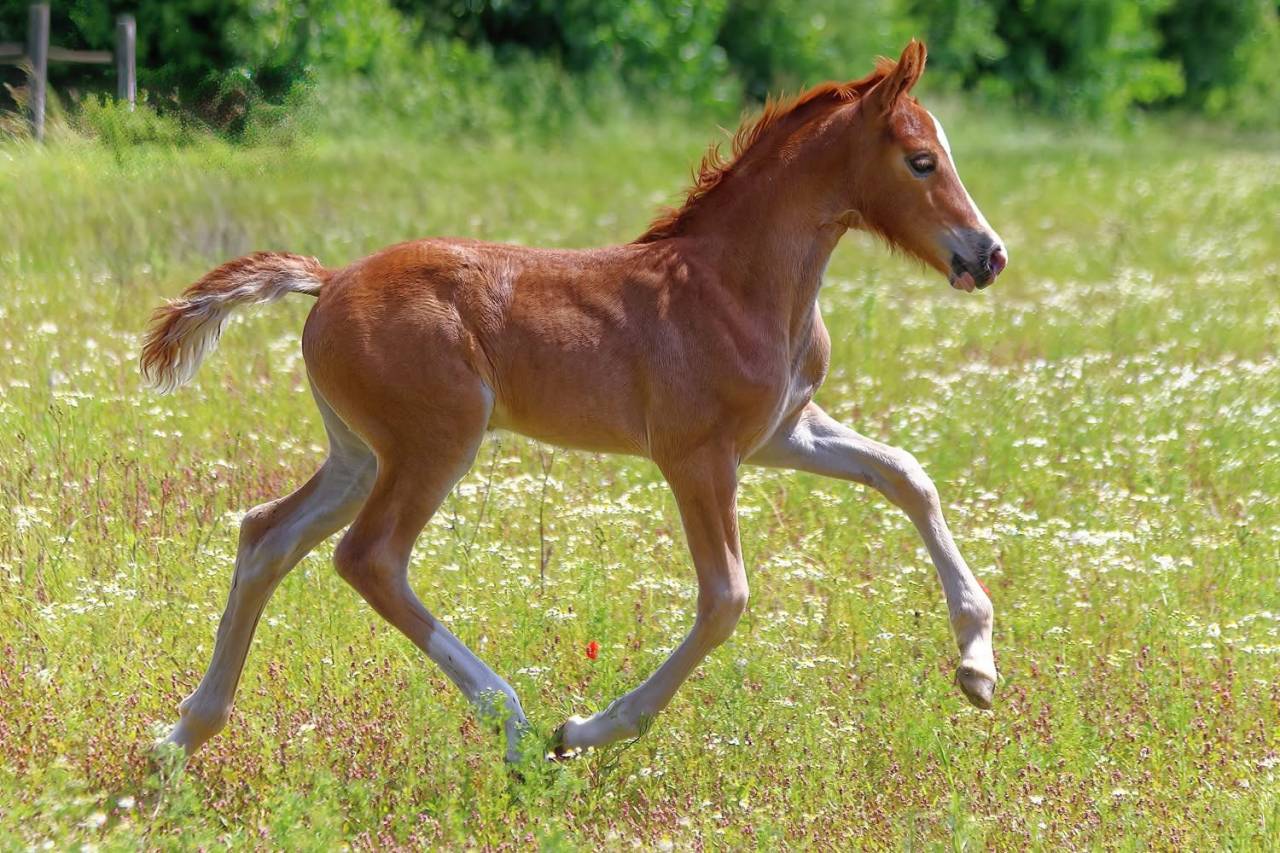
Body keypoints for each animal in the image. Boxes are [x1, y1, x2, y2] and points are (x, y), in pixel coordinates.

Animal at [141, 40, 1006, 764]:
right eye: (922, 160)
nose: (988, 254)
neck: (737, 284)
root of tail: (328, 282)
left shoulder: (781, 432)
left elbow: (906, 474)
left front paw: (976, 664)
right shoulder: (697, 456)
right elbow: (726, 597)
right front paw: (591, 727)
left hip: (359, 451)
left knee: (267, 535)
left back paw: (182, 737)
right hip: (435, 441)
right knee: (369, 557)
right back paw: (517, 724)